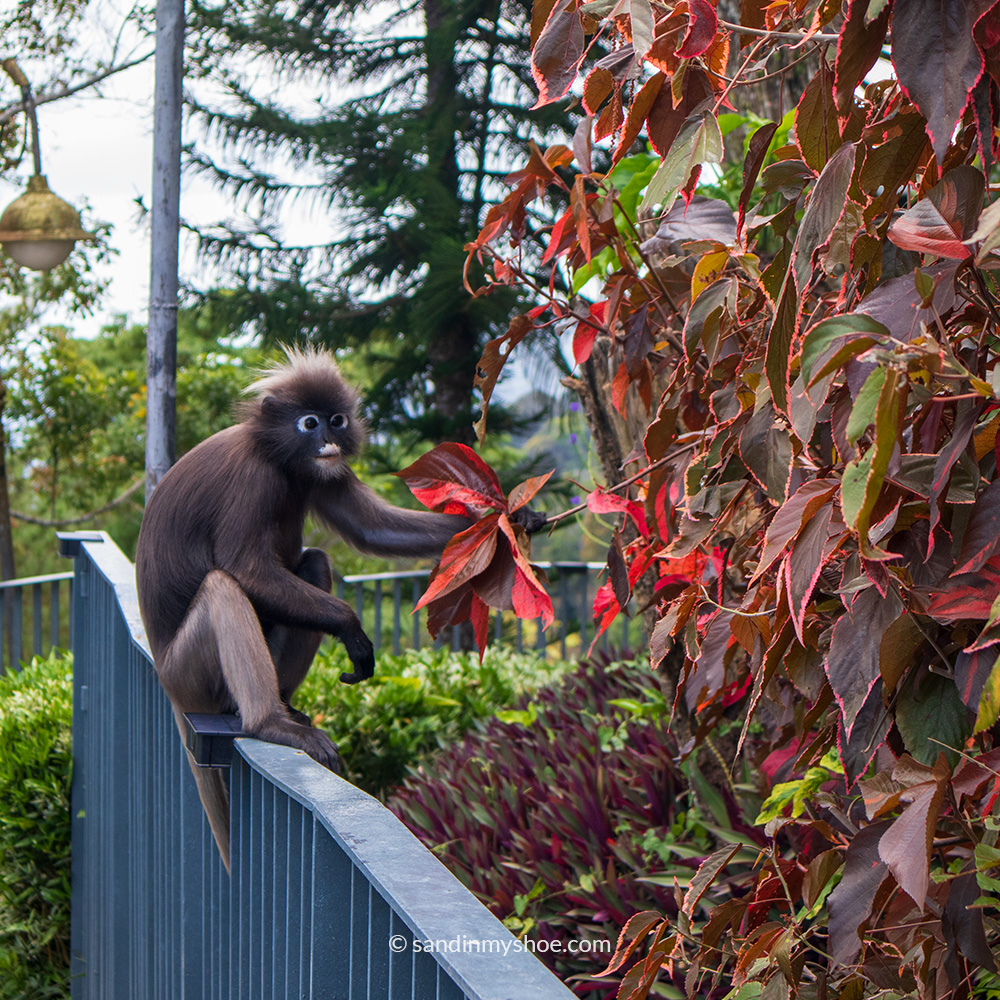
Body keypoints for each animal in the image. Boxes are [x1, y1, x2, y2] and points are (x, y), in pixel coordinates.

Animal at [135, 347, 474, 869]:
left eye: (336, 420)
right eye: (308, 423)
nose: (329, 442)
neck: (280, 459)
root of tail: (169, 685)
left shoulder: (321, 471)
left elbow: (370, 528)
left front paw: (512, 517)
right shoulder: (252, 478)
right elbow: (245, 566)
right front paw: (352, 628)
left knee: (314, 562)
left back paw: (287, 706)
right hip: (189, 669)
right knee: (222, 587)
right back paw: (270, 723)